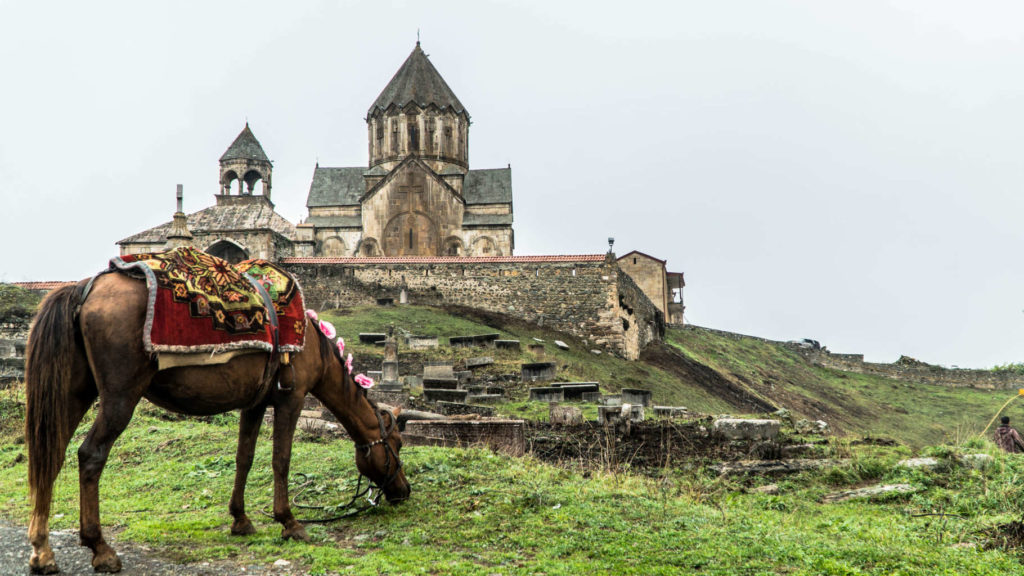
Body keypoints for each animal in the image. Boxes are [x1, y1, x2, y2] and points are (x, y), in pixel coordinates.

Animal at [24, 270, 407, 569]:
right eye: (397, 445)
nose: (404, 491)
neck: (314, 344)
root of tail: (84, 289)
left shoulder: (254, 403)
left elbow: (244, 458)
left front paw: (241, 518)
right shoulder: (291, 398)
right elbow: (281, 460)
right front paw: (289, 522)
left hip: (76, 389)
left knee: (51, 454)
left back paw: (43, 553)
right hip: (120, 395)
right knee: (90, 455)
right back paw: (100, 549)